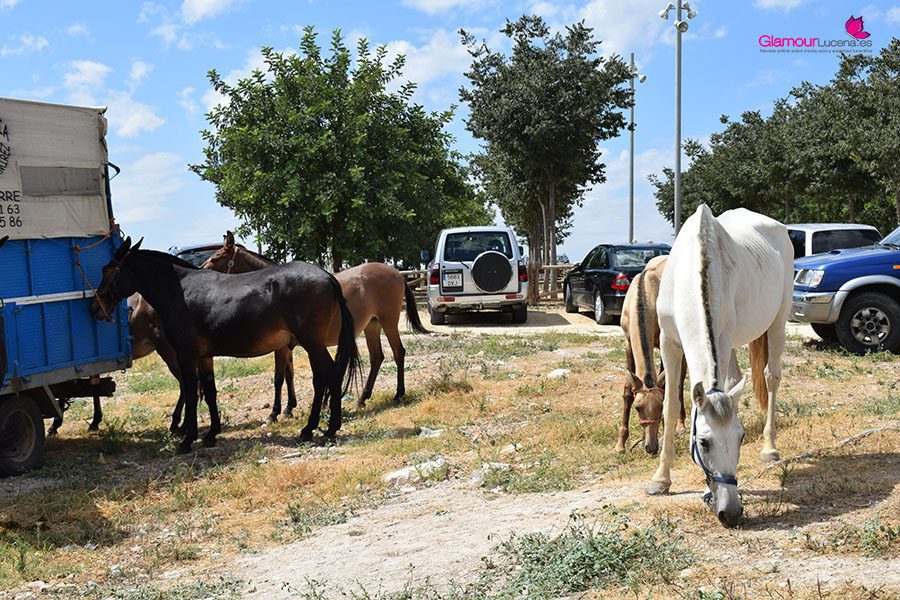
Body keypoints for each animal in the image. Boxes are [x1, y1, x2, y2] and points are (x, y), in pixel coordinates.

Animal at [91, 237, 361, 453]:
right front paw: (211, 434)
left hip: (312, 343)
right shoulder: (203, 357)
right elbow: (209, 392)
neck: (180, 292)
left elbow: (191, 392)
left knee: (329, 376)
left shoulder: (186, 355)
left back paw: (326, 429)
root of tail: (328, 276)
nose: (94, 308)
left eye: (108, 270)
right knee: (323, 378)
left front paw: (187, 439)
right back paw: (313, 429)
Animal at [200, 231, 428, 420]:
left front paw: (274, 413)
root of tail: (395, 272)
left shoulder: (281, 347)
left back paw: (398, 394)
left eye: (215, 258)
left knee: (398, 353)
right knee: (376, 358)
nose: (200, 272)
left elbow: (279, 378)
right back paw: (363, 398)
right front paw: (289, 408)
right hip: (371, 326)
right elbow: (289, 375)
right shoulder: (289, 346)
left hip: (389, 323)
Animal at [616, 255, 686, 454]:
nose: (651, 447)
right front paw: (620, 443)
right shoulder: (628, 343)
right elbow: (627, 390)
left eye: (660, 406)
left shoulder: (665, 341)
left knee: (679, 381)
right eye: (638, 408)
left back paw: (681, 425)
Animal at [645, 205, 792, 528]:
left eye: (740, 437)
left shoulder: (721, 341)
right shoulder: (669, 343)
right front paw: (661, 479)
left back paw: (770, 448)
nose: (731, 512)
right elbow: (670, 406)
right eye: (703, 442)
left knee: (771, 377)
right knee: (737, 381)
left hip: (778, 321)